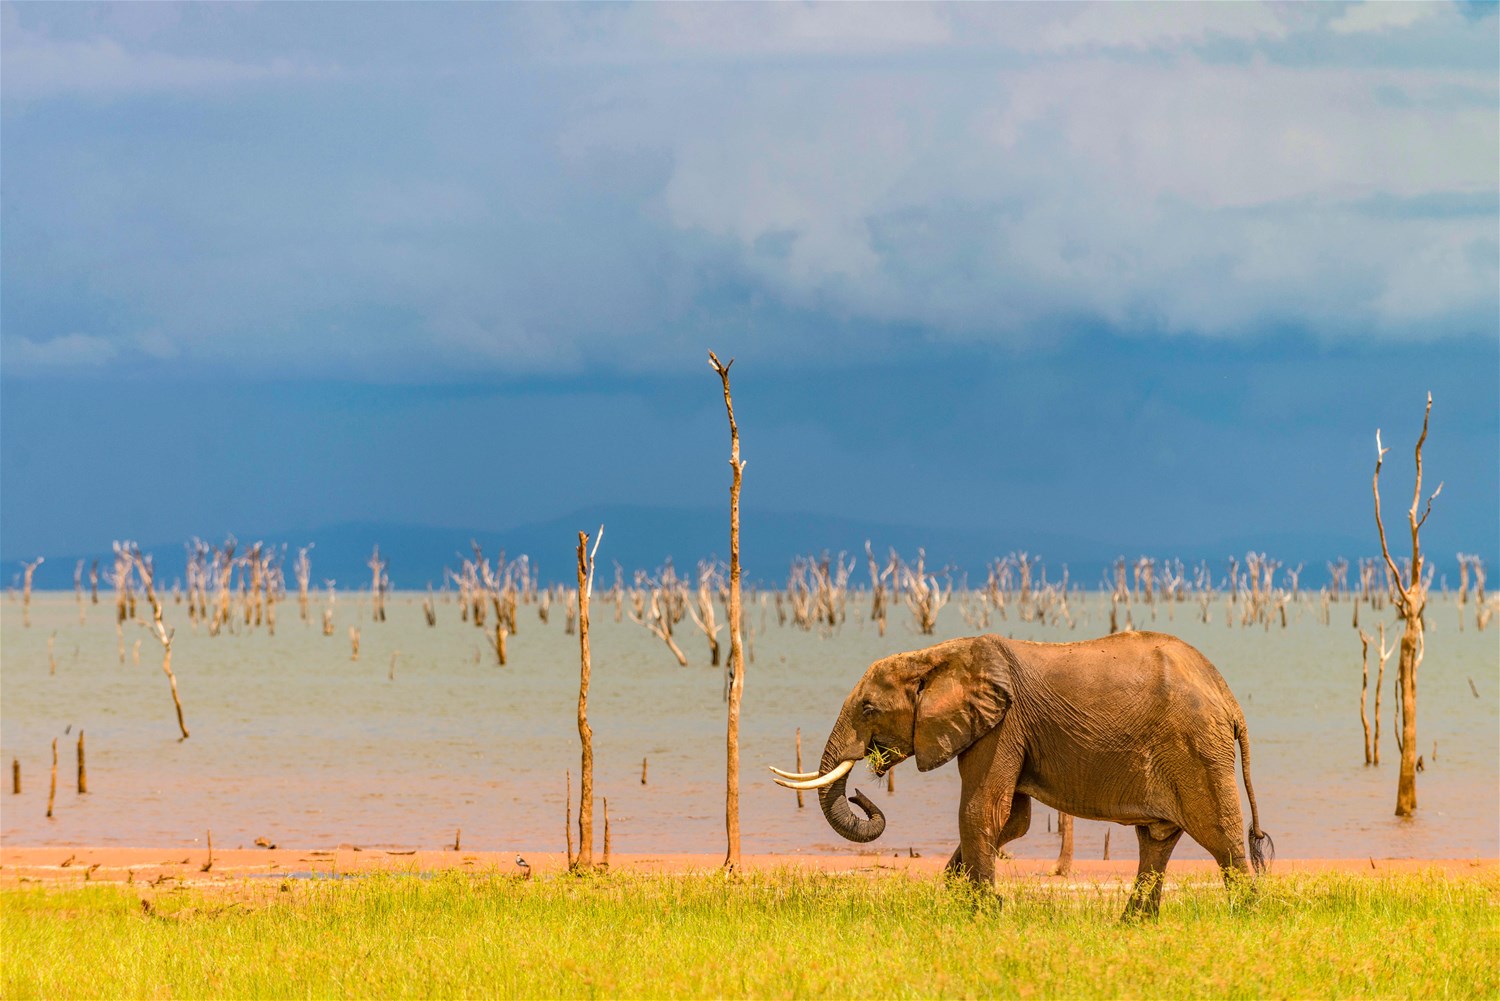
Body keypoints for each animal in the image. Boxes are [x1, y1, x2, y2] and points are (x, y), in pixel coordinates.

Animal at [774, 633, 1278, 918]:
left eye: (867, 708)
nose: (862, 792)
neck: (935, 655)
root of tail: (1229, 699)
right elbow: (1012, 820)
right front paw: (959, 897)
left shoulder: (1001, 725)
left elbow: (983, 811)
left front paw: (982, 914)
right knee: (1156, 839)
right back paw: (1132, 925)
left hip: (1197, 747)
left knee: (1219, 834)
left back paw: (1247, 917)